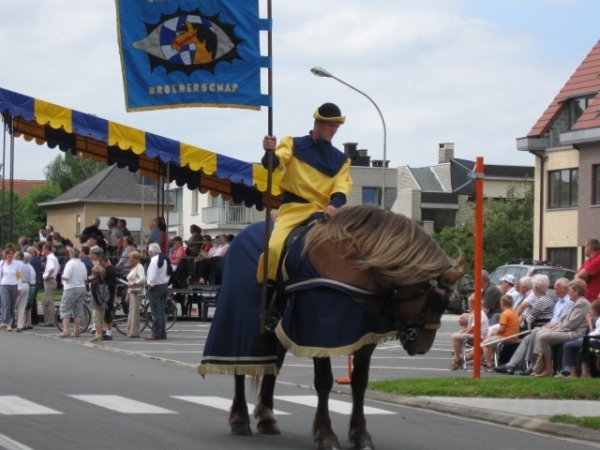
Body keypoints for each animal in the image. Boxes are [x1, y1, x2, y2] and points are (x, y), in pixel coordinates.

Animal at [199, 205, 462, 450]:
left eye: (447, 303)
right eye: (434, 301)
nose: (422, 347)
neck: (355, 263)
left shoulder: (365, 334)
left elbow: (360, 382)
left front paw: (360, 434)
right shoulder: (318, 330)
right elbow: (324, 381)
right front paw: (325, 434)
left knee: (273, 367)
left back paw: (266, 417)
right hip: (240, 319)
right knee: (239, 365)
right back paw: (240, 419)